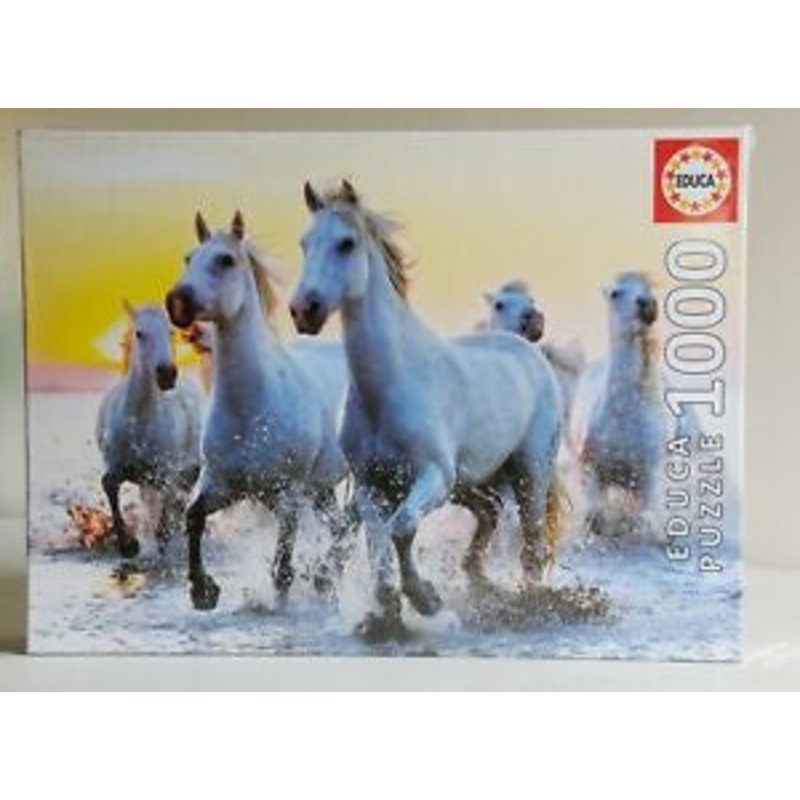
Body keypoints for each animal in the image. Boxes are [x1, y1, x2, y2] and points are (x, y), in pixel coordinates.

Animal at [96, 302, 203, 557]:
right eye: (139, 333)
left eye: (172, 332)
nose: (166, 373)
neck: (139, 426)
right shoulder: (119, 466)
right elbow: (108, 484)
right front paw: (128, 544)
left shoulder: (164, 469)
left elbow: (169, 493)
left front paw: (162, 534)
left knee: (179, 494)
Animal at [165, 211, 352, 611]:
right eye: (189, 258)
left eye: (225, 260)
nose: (177, 302)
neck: (250, 411)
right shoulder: (224, 485)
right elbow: (193, 517)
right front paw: (203, 590)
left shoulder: (288, 497)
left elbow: (282, 570)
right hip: (321, 487)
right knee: (336, 526)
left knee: (345, 527)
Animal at [290, 180, 566, 630]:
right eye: (305, 243)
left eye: (346, 243)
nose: (304, 310)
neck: (388, 391)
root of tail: (527, 350)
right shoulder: (370, 486)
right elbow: (377, 541)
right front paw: (387, 607)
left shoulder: (433, 475)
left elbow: (401, 529)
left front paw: (427, 600)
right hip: (473, 483)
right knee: (489, 516)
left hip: (530, 473)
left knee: (533, 544)